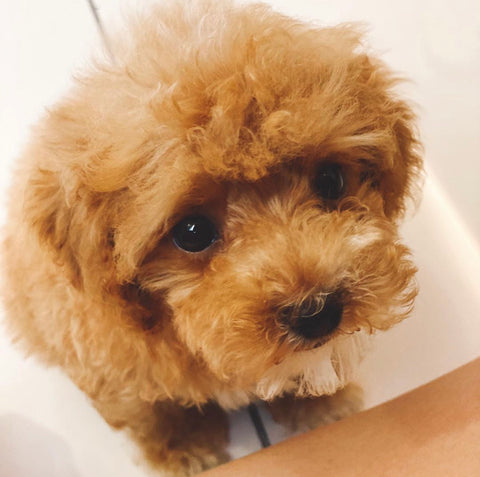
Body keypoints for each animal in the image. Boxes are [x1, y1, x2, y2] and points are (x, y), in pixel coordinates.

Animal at [1, 1, 422, 474]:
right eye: (192, 232)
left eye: (331, 180)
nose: (317, 312)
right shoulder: (107, 363)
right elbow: (151, 411)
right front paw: (185, 447)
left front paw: (317, 406)